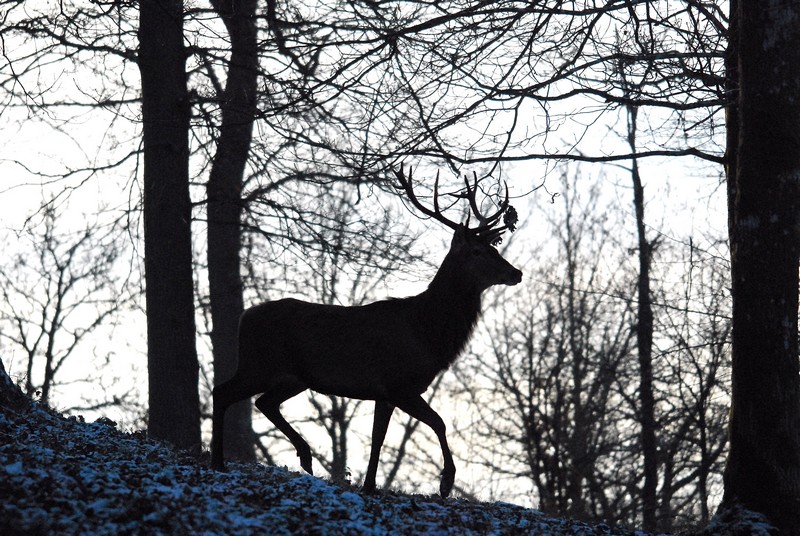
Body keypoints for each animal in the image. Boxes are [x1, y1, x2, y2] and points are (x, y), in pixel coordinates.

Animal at [211, 165, 524, 496]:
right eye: (477, 251)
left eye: (492, 247)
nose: (516, 273)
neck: (427, 332)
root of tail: (244, 317)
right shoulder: (400, 383)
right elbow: (438, 422)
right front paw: (446, 481)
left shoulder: (384, 392)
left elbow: (378, 438)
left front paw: (370, 485)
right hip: (257, 364)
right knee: (223, 392)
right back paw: (219, 462)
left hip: (293, 377)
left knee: (264, 402)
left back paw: (305, 456)